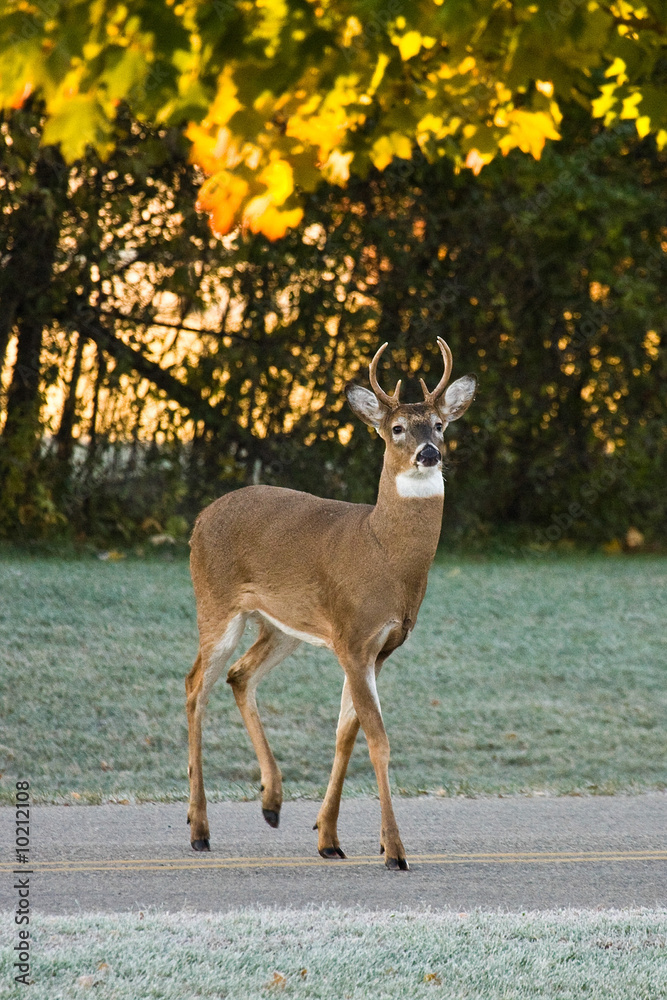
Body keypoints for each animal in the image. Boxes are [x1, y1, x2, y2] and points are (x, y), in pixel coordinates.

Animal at [185, 338, 476, 870]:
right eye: (397, 427)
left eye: (440, 424)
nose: (429, 453)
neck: (385, 552)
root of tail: (199, 521)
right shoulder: (352, 636)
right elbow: (378, 740)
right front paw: (394, 850)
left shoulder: (378, 648)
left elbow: (346, 735)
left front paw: (328, 837)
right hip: (216, 602)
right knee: (196, 683)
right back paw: (199, 828)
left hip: (280, 625)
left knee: (239, 676)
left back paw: (271, 803)